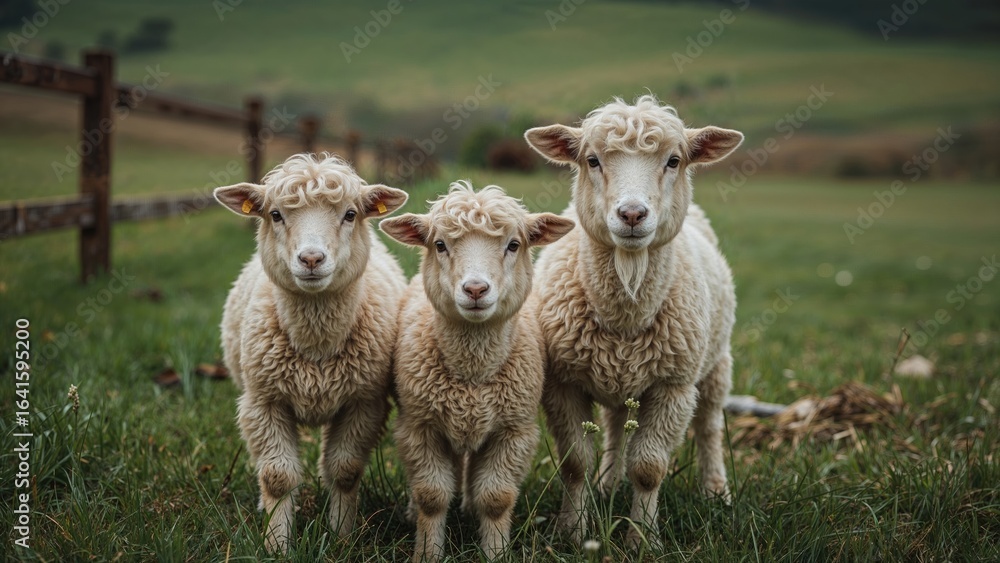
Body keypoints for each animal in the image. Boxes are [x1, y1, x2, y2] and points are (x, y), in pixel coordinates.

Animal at [213, 153, 409, 552]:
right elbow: (277, 477)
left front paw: (341, 537)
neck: (316, 345)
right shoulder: (263, 402)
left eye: (350, 214)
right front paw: (275, 544)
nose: (312, 259)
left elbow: (345, 471)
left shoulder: (364, 402)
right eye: (275, 214)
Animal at [380, 181, 575, 562]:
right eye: (440, 245)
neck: (473, 374)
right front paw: (428, 553)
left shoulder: (514, 431)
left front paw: (495, 552)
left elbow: (496, 499)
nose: (475, 289)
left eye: (513, 245)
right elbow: (431, 496)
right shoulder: (420, 427)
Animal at [523, 95, 744, 548]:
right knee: (613, 426)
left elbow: (649, 468)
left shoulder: (673, 388)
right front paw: (573, 531)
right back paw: (608, 484)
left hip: (715, 363)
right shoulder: (562, 383)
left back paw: (716, 492)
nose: (631, 214)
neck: (625, 314)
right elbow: (575, 462)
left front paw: (642, 538)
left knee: (710, 426)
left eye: (674, 161)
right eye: (592, 160)